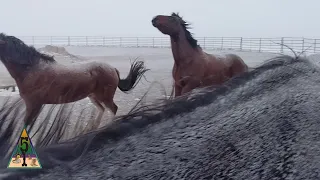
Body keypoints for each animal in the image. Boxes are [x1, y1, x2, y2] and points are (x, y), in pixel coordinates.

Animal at [0, 32, 149, 128]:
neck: (32, 69)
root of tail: (112, 68)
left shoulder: (33, 105)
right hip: (93, 96)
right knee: (101, 109)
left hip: (104, 97)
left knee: (113, 109)